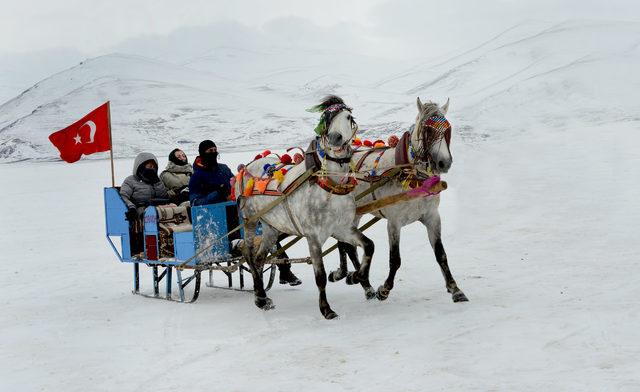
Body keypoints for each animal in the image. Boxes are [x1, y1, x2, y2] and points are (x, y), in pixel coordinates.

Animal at [332, 97, 468, 304]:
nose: (444, 163)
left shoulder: (432, 217)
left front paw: (455, 289)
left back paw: (355, 278)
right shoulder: (394, 223)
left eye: (447, 129)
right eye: (428, 130)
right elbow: (395, 259)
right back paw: (360, 279)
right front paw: (385, 289)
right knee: (347, 244)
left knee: (345, 244)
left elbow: (441, 254)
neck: (413, 177)